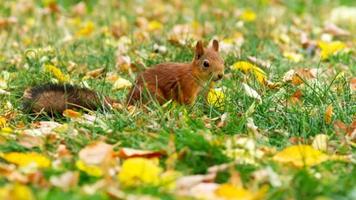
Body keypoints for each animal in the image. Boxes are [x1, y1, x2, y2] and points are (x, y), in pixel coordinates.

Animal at [22, 39, 224, 114]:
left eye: (222, 60)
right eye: (206, 64)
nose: (220, 75)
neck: (196, 76)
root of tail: (128, 102)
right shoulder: (187, 87)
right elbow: (187, 102)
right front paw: (193, 113)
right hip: (152, 94)